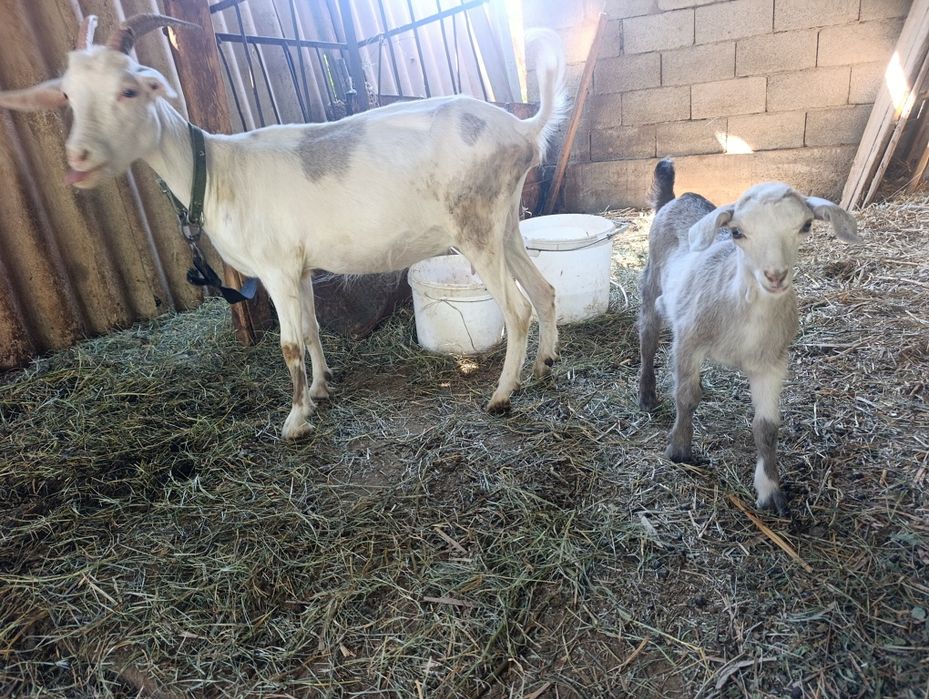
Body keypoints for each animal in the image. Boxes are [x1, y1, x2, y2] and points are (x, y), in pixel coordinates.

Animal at [0, 15, 567, 439]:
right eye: (68, 96)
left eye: (129, 90)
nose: (79, 159)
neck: (217, 172)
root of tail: (522, 128)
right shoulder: (299, 269)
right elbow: (313, 328)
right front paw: (319, 390)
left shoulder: (274, 269)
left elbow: (288, 345)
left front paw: (295, 420)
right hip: (504, 224)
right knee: (543, 290)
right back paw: (544, 368)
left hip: (475, 227)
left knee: (517, 309)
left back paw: (501, 396)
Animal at [638, 159, 860, 515]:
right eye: (737, 232)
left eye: (805, 226)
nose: (775, 275)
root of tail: (679, 196)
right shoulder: (688, 340)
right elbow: (685, 397)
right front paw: (679, 449)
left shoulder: (772, 363)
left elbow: (766, 426)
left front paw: (770, 490)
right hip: (652, 277)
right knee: (648, 334)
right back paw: (646, 394)